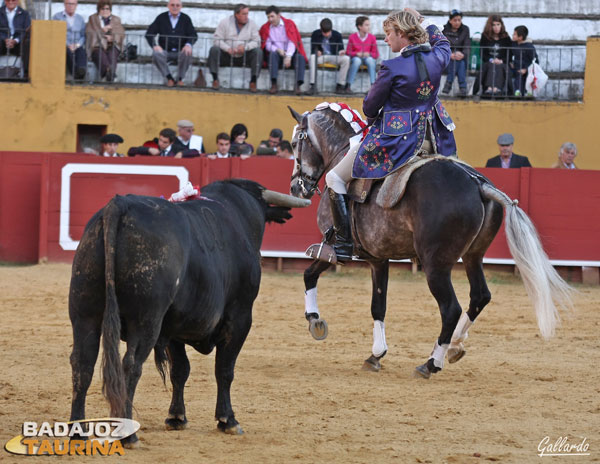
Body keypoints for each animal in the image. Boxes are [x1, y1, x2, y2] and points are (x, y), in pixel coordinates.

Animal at [69, 179, 310, 446]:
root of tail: (120, 205)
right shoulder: (240, 318)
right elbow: (224, 369)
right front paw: (228, 420)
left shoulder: (173, 328)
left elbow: (180, 370)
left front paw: (176, 417)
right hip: (145, 322)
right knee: (130, 366)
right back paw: (129, 436)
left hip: (84, 313)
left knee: (82, 363)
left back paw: (77, 432)